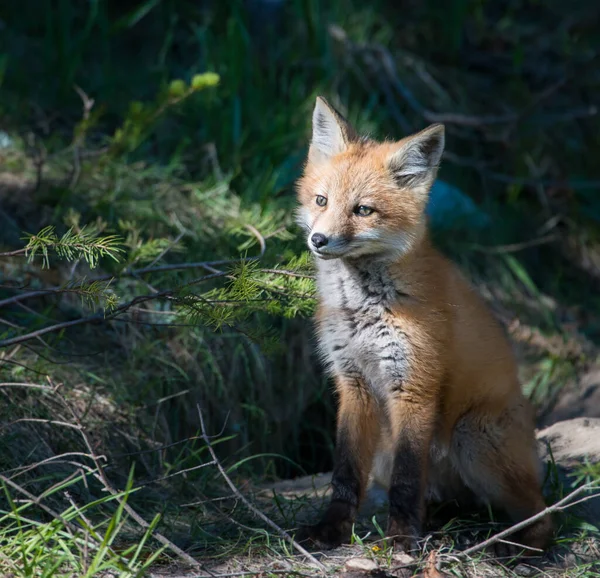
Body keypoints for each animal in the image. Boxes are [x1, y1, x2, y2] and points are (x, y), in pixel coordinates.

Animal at [296, 97, 552, 552]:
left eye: (363, 210)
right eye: (322, 200)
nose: (319, 240)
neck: (361, 310)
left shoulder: (412, 386)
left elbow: (406, 478)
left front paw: (400, 540)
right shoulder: (353, 383)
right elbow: (345, 476)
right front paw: (332, 530)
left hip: (472, 435)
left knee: (544, 517)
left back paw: (512, 547)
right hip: (392, 452)